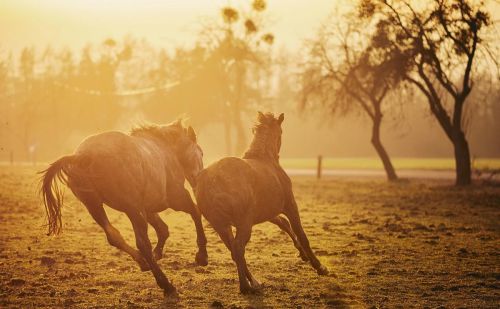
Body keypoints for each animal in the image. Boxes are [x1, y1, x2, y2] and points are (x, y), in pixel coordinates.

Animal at [39, 118, 207, 294]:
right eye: (201, 153)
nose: (198, 179)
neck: (165, 148)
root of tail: (81, 156)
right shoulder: (175, 198)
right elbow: (195, 212)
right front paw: (202, 255)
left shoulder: (147, 207)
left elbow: (163, 229)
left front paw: (158, 253)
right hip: (132, 209)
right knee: (142, 243)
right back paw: (165, 284)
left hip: (94, 205)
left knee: (114, 236)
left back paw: (143, 262)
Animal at [195, 112, 328, 292]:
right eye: (281, 132)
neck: (266, 160)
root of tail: (210, 179)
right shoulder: (290, 205)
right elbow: (300, 233)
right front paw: (319, 266)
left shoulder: (268, 212)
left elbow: (284, 224)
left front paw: (303, 254)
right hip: (243, 223)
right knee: (238, 248)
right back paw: (246, 286)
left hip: (221, 225)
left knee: (234, 251)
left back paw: (253, 282)